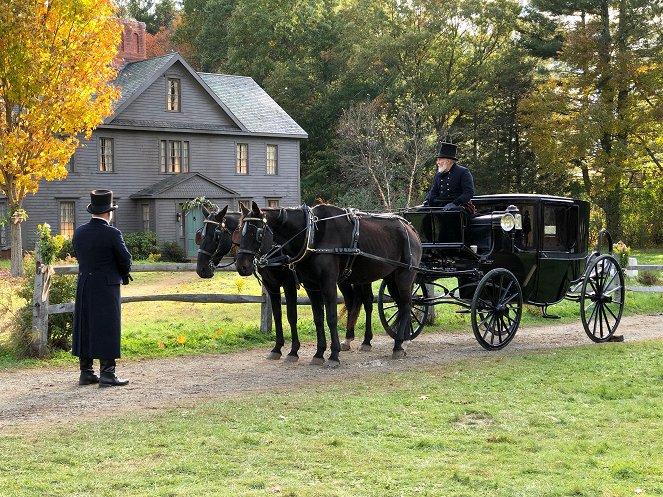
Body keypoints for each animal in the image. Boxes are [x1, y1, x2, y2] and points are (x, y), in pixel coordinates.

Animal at [195, 203, 376, 358]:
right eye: (201, 234)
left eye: (216, 235)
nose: (201, 269)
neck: (275, 247)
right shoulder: (272, 286)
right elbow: (277, 315)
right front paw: (277, 348)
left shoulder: (289, 284)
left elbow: (291, 315)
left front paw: (293, 350)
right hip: (345, 279)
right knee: (352, 301)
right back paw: (348, 338)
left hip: (361, 277)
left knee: (367, 301)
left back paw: (366, 340)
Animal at [235, 201, 420, 364]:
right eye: (239, 230)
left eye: (257, 233)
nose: (242, 266)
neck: (312, 235)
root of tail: (409, 229)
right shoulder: (305, 286)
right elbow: (314, 317)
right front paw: (317, 353)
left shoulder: (321, 284)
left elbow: (327, 317)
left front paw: (332, 355)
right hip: (385, 277)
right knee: (390, 304)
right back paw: (398, 340)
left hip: (404, 276)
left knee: (404, 304)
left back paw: (397, 345)